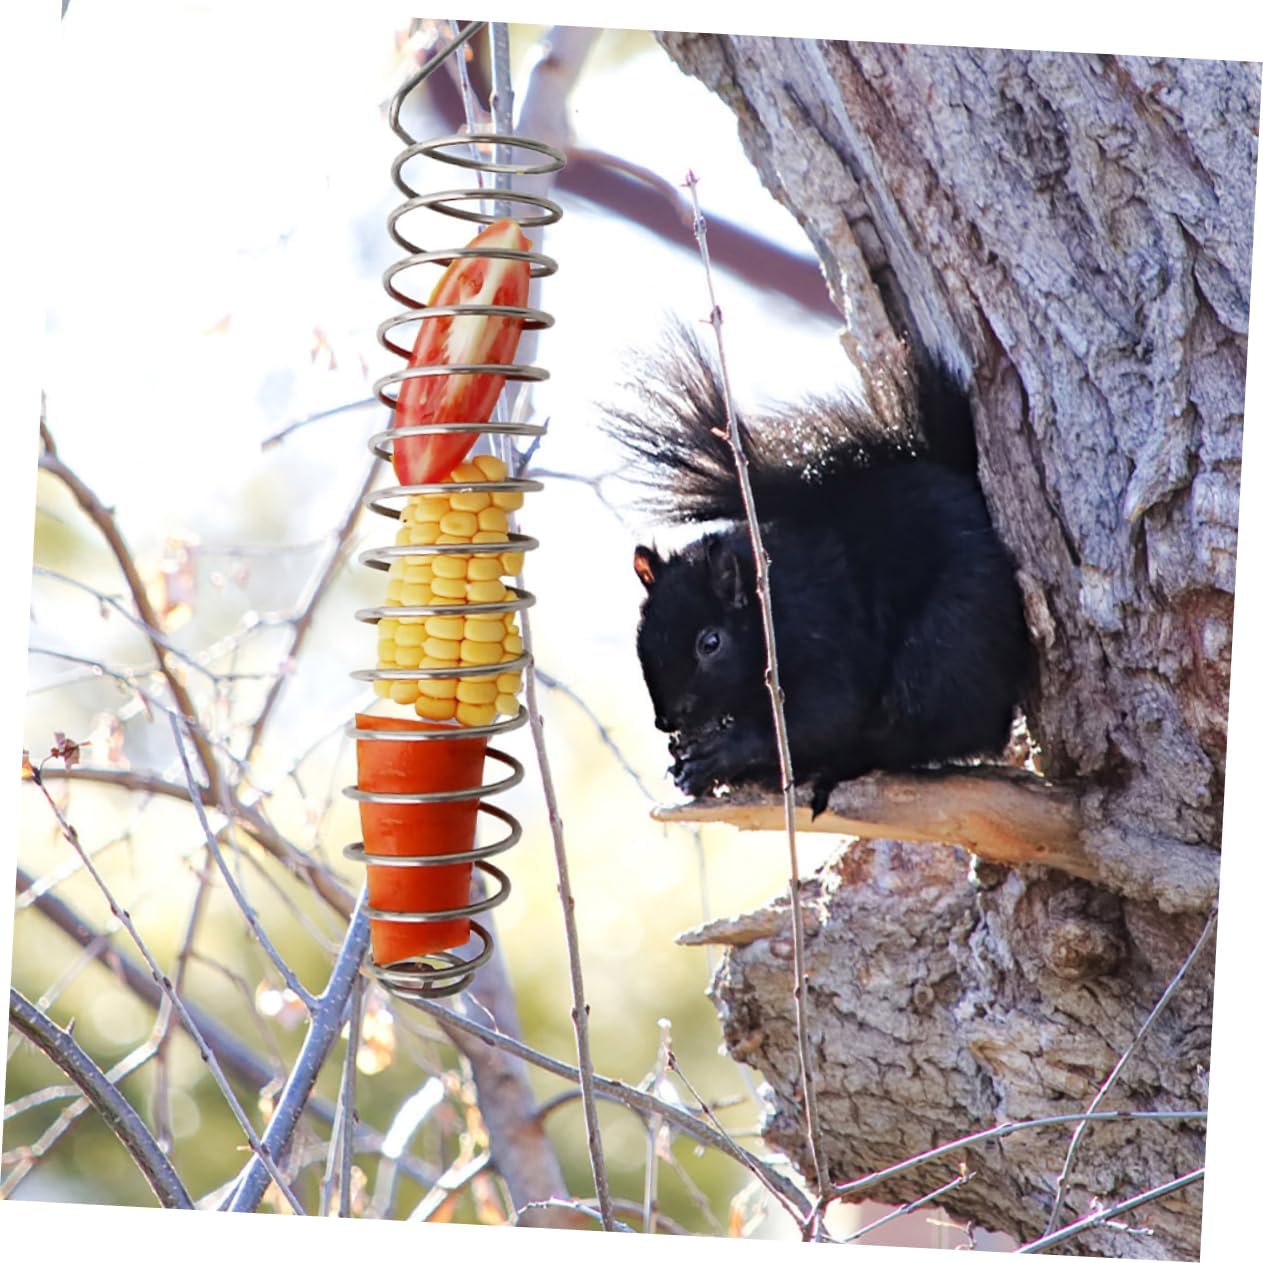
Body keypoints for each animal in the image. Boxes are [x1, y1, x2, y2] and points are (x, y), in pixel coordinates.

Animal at [606, 323, 1031, 818]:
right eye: (641, 632)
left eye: (710, 643)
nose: (666, 720)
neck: (770, 603)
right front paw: (684, 758)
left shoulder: (824, 629)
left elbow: (824, 714)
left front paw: (724, 752)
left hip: (947, 649)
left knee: (916, 732)